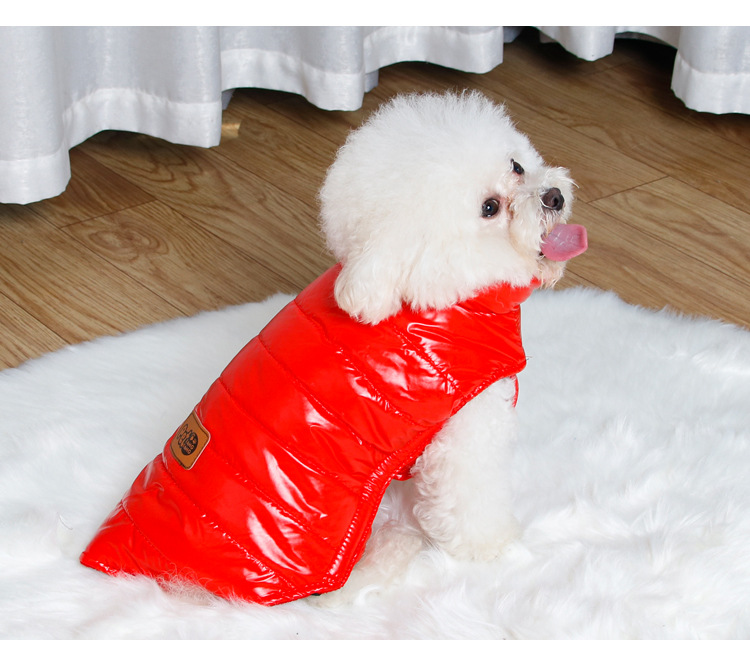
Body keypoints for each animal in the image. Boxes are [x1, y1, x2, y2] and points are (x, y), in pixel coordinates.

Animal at [314, 90, 585, 603]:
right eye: (490, 208)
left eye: (516, 165)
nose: (554, 197)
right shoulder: (465, 427)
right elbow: (470, 497)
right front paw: (492, 544)